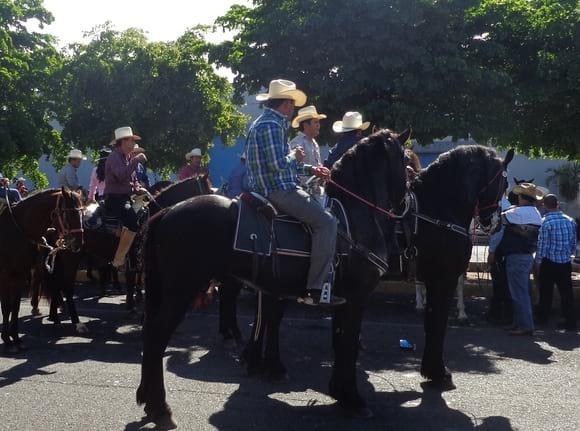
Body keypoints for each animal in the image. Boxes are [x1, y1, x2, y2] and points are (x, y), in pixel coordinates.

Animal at [0, 189, 84, 354]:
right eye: (69, 214)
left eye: (81, 213)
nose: (78, 244)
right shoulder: (5, 276)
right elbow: (6, 307)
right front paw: (7, 341)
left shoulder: (20, 275)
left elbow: (15, 306)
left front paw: (16, 339)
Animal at [136, 128, 408, 428]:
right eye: (406, 160)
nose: (405, 203)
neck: (354, 219)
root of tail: (167, 212)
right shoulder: (356, 298)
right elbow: (348, 345)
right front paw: (353, 399)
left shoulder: (340, 300)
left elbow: (340, 343)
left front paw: (340, 393)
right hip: (180, 291)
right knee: (157, 336)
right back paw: (160, 408)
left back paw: (149, 400)